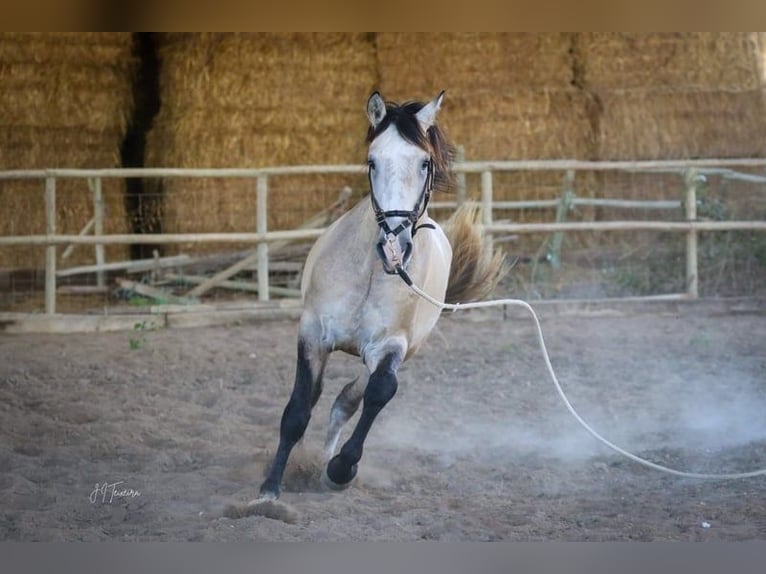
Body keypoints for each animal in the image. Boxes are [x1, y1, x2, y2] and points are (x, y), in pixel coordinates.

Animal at [258, 91, 510, 504]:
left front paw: (340, 469)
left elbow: (379, 392)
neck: (369, 274)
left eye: (424, 163)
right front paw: (269, 488)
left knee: (348, 399)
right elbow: (297, 410)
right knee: (323, 398)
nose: (395, 245)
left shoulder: (390, 346)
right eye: (372, 161)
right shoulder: (312, 334)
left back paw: (324, 461)